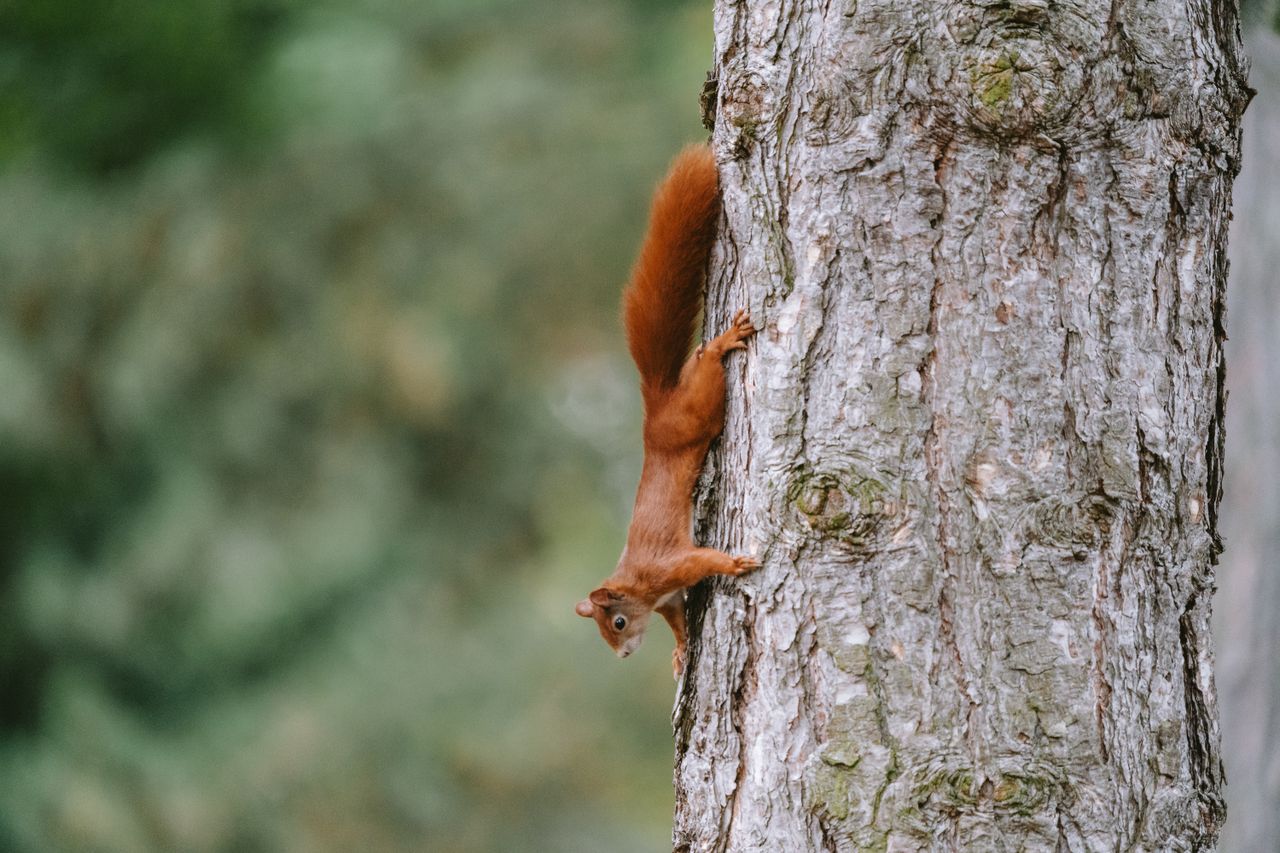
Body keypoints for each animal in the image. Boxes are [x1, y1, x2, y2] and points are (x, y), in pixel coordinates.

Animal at [575, 143, 760, 678]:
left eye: (616, 622)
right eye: (604, 632)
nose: (622, 656)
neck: (637, 584)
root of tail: (656, 406)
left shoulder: (670, 568)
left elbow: (704, 562)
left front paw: (734, 565)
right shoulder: (669, 598)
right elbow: (677, 621)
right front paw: (680, 650)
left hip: (698, 412)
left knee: (709, 374)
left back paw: (720, 343)